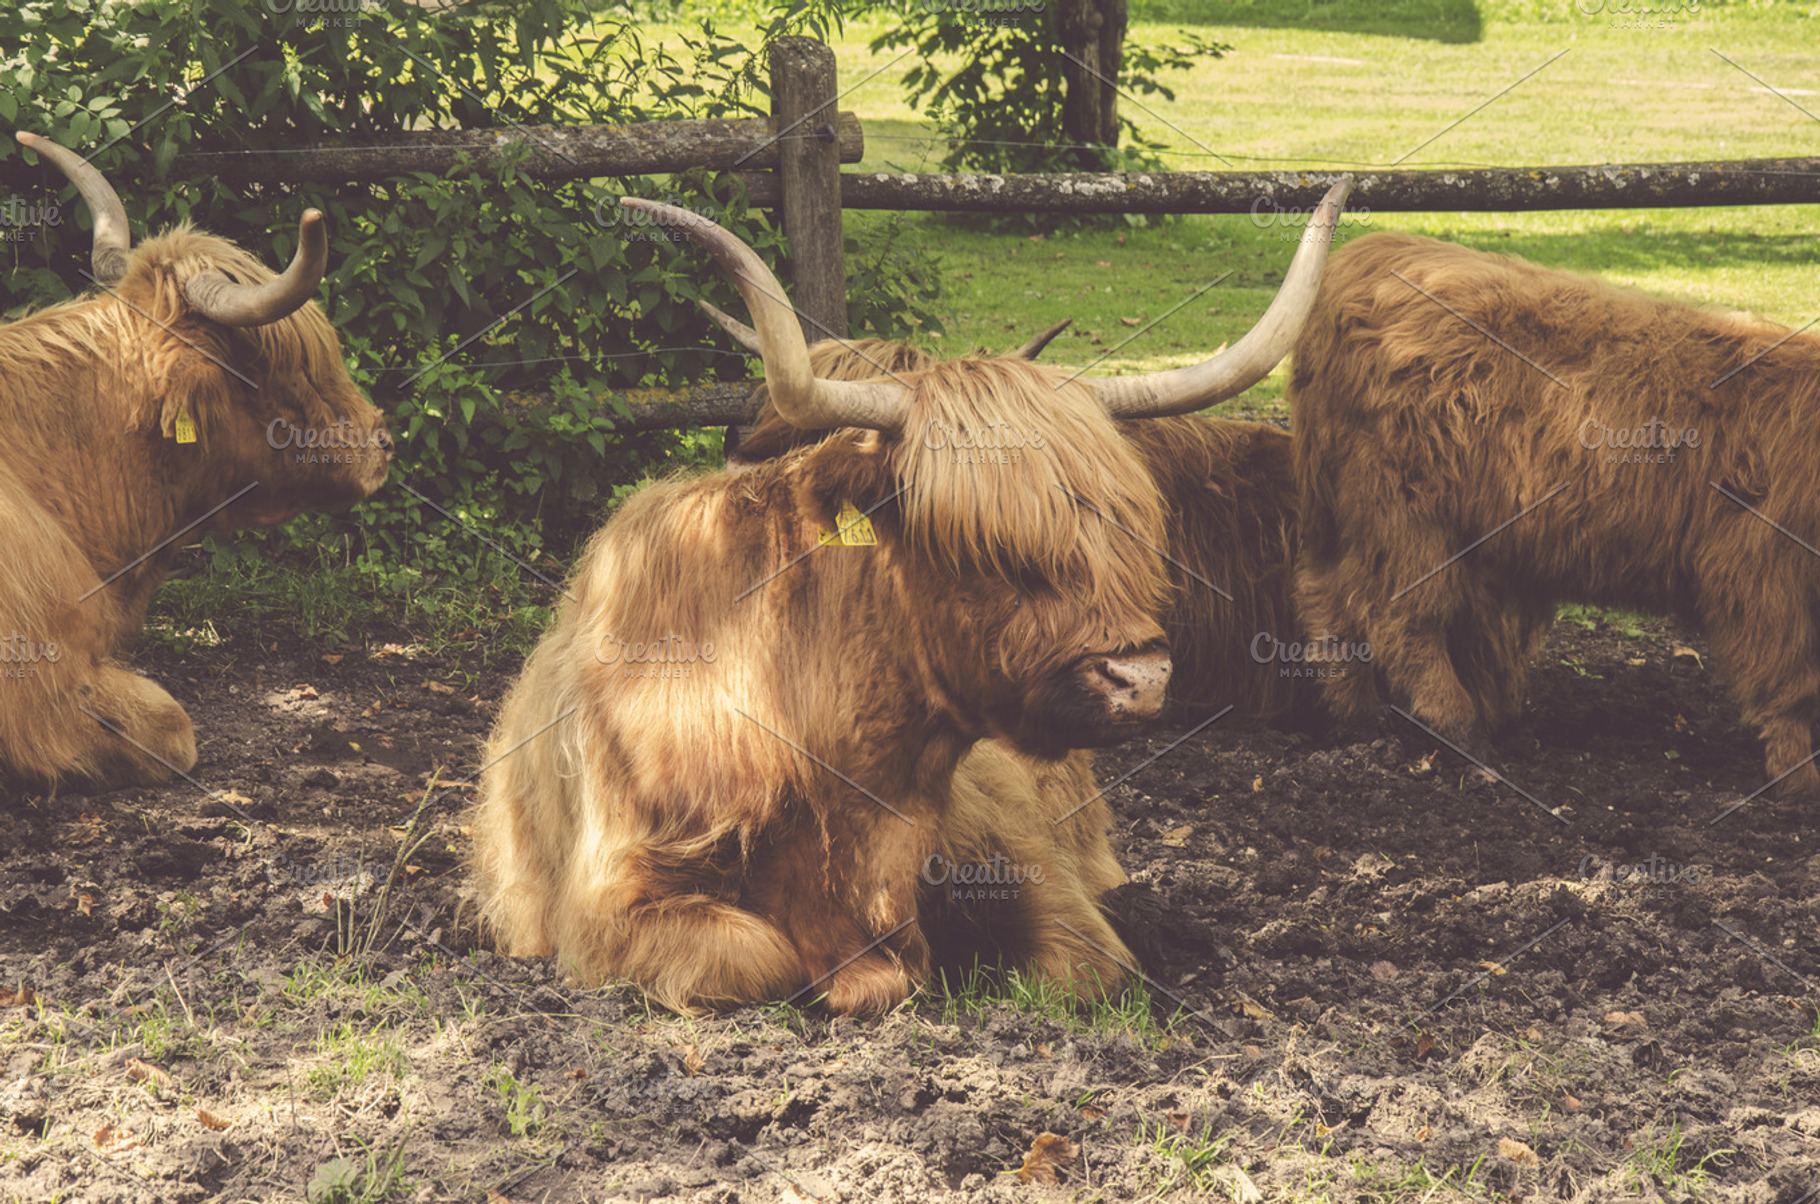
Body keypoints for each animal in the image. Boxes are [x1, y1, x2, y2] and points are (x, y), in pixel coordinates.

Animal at [470, 182, 1350, 1015]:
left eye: (1128, 526)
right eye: (978, 545)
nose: (1141, 680)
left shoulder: (1022, 863)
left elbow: (1082, 964)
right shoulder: (606, 905)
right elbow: (759, 958)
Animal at [1290, 230, 1820, 795]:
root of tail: (1373, 252)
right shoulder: (1764, 569)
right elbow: (1793, 685)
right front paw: (1799, 781)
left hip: (1347, 515)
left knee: (1327, 599)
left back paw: (1357, 720)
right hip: (1407, 516)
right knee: (1401, 617)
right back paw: (1462, 734)